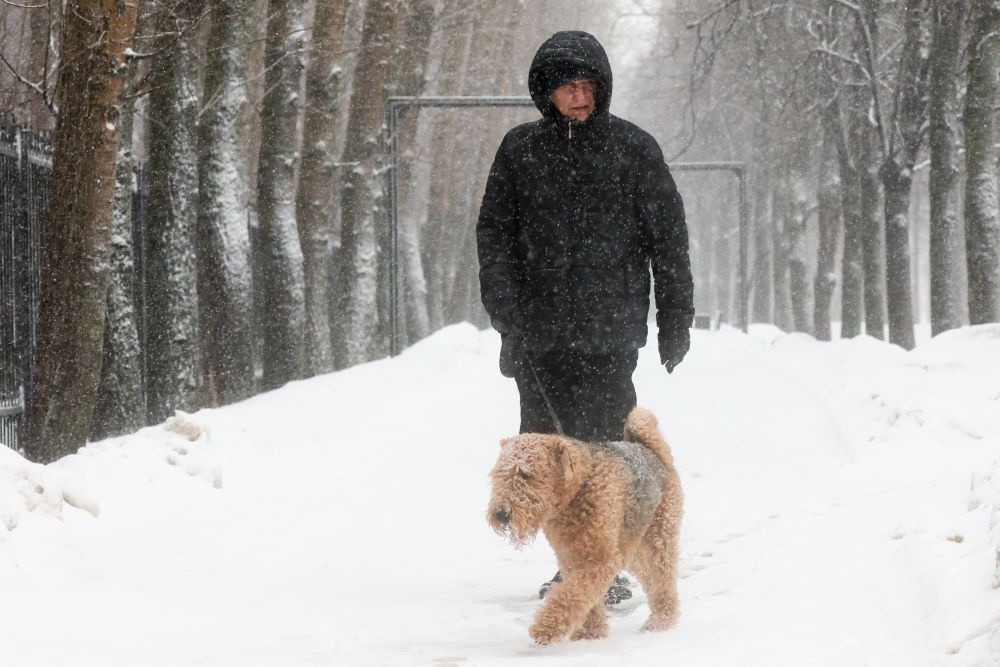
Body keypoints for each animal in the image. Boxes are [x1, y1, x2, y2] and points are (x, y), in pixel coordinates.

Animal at [484, 404, 680, 644]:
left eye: (525, 473)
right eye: (498, 473)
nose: (501, 514)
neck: (579, 490)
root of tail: (650, 450)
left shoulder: (599, 559)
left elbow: (576, 593)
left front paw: (546, 627)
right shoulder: (570, 557)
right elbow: (583, 597)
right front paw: (590, 633)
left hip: (659, 537)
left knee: (664, 581)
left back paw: (660, 622)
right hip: (631, 550)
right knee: (649, 578)